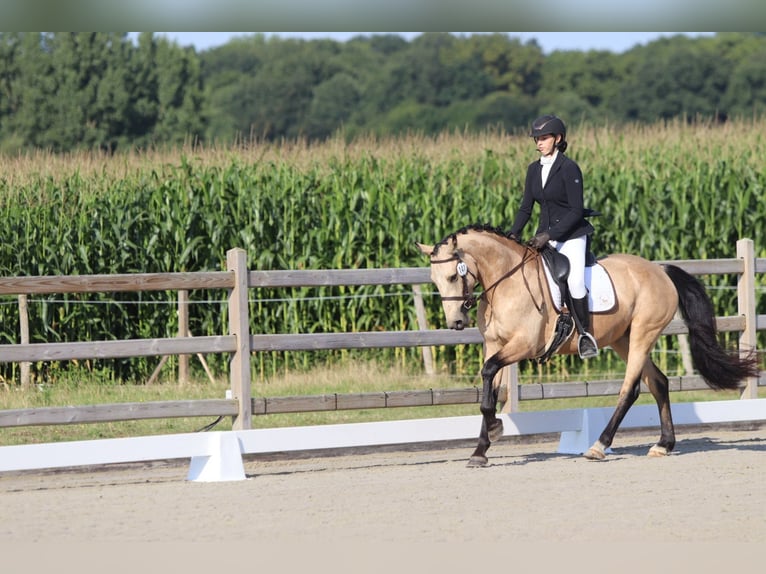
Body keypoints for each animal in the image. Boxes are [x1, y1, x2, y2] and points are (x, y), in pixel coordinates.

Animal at [416, 224, 759, 467]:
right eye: (434, 280)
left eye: (453, 276)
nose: (456, 322)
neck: (506, 282)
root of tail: (659, 269)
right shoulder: (494, 344)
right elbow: (490, 386)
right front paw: (481, 448)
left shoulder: (523, 345)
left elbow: (489, 374)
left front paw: (493, 432)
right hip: (623, 338)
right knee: (658, 382)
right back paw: (663, 445)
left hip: (642, 334)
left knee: (630, 389)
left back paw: (598, 446)